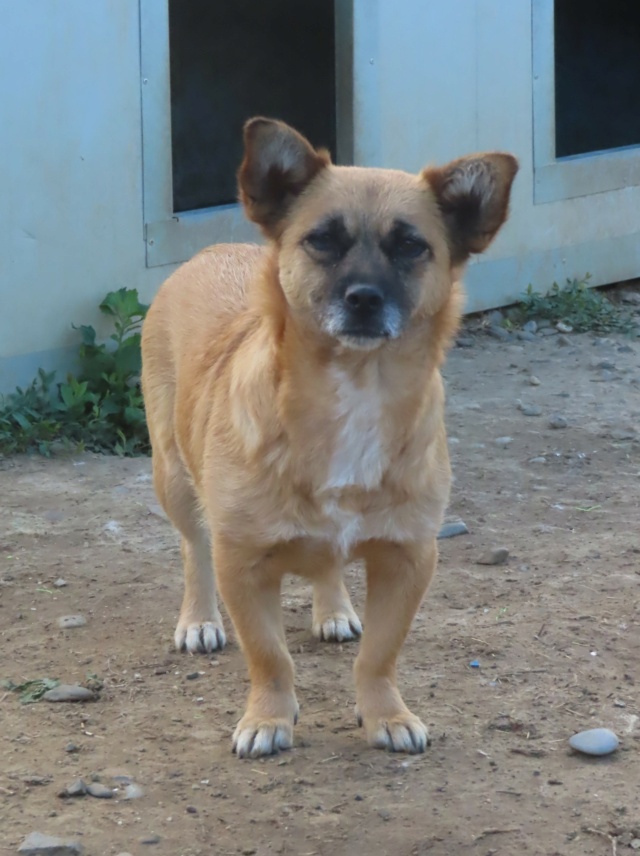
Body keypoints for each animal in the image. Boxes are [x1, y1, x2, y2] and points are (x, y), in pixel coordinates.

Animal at [140, 117, 516, 760]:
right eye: (322, 240)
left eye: (410, 246)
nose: (363, 297)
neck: (355, 390)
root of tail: (212, 250)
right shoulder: (242, 563)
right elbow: (269, 656)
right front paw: (268, 718)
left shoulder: (410, 559)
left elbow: (379, 655)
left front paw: (386, 713)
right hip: (174, 478)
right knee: (193, 548)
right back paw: (199, 619)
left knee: (329, 564)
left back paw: (334, 608)